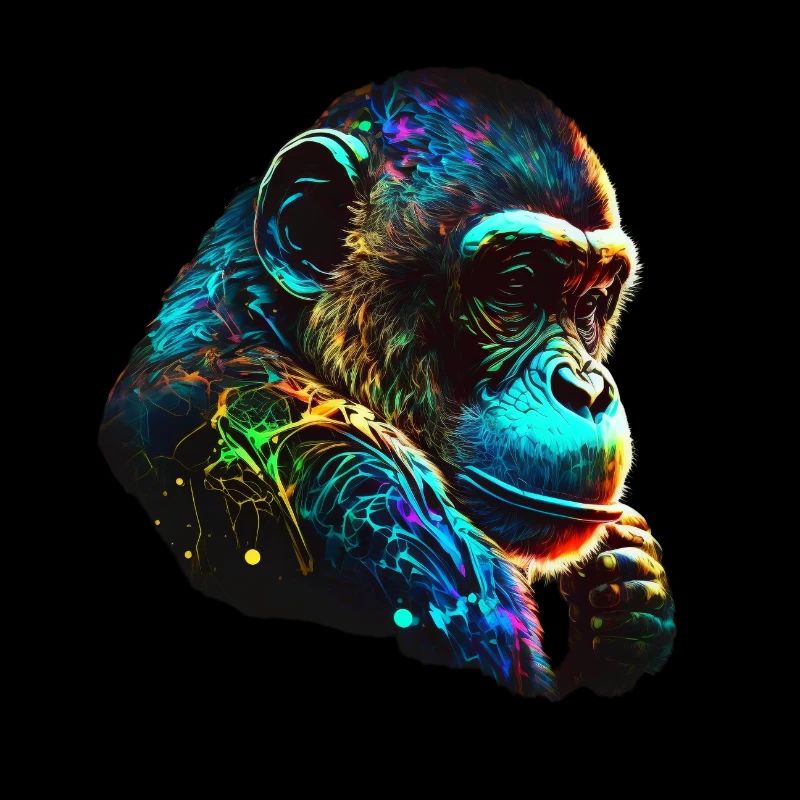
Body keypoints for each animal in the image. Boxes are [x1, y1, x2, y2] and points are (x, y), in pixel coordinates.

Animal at [100, 68, 675, 698]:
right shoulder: (369, 498)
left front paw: (630, 590)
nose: (586, 389)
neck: (260, 324)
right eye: (516, 286)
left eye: (591, 304)